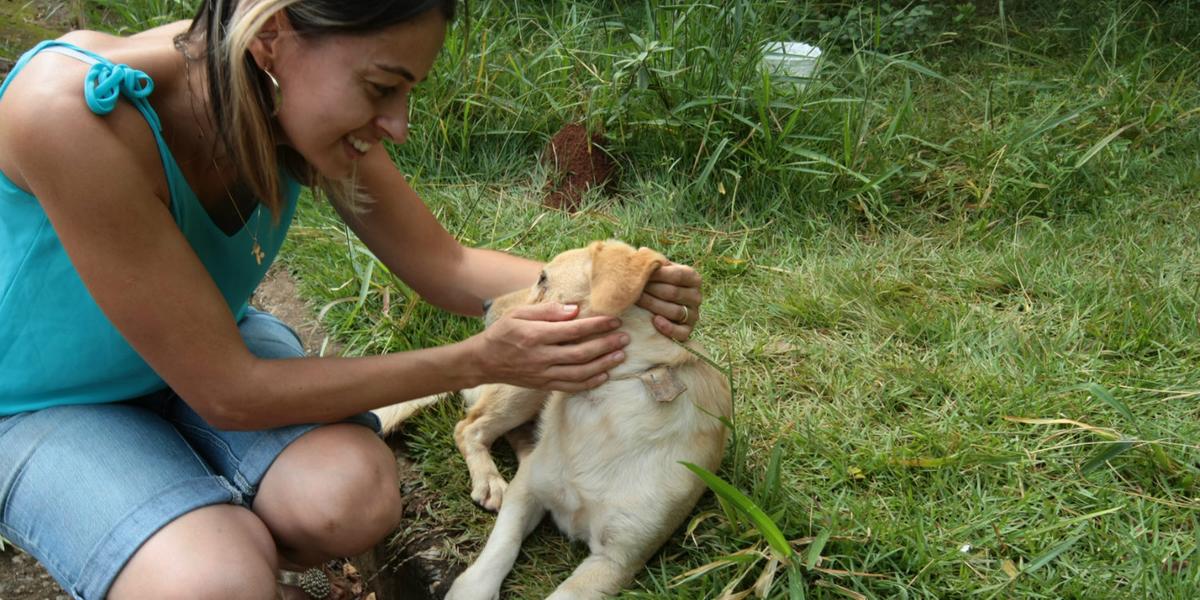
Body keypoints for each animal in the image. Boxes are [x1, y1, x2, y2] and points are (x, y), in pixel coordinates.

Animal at [374, 241, 729, 597]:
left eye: (543, 279)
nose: (484, 304)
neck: (601, 401)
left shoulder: (617, 559)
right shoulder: (524, 491)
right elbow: (498, 550)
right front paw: (471, 591)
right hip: (525, 381)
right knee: (469, 427)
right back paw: (488, 479)